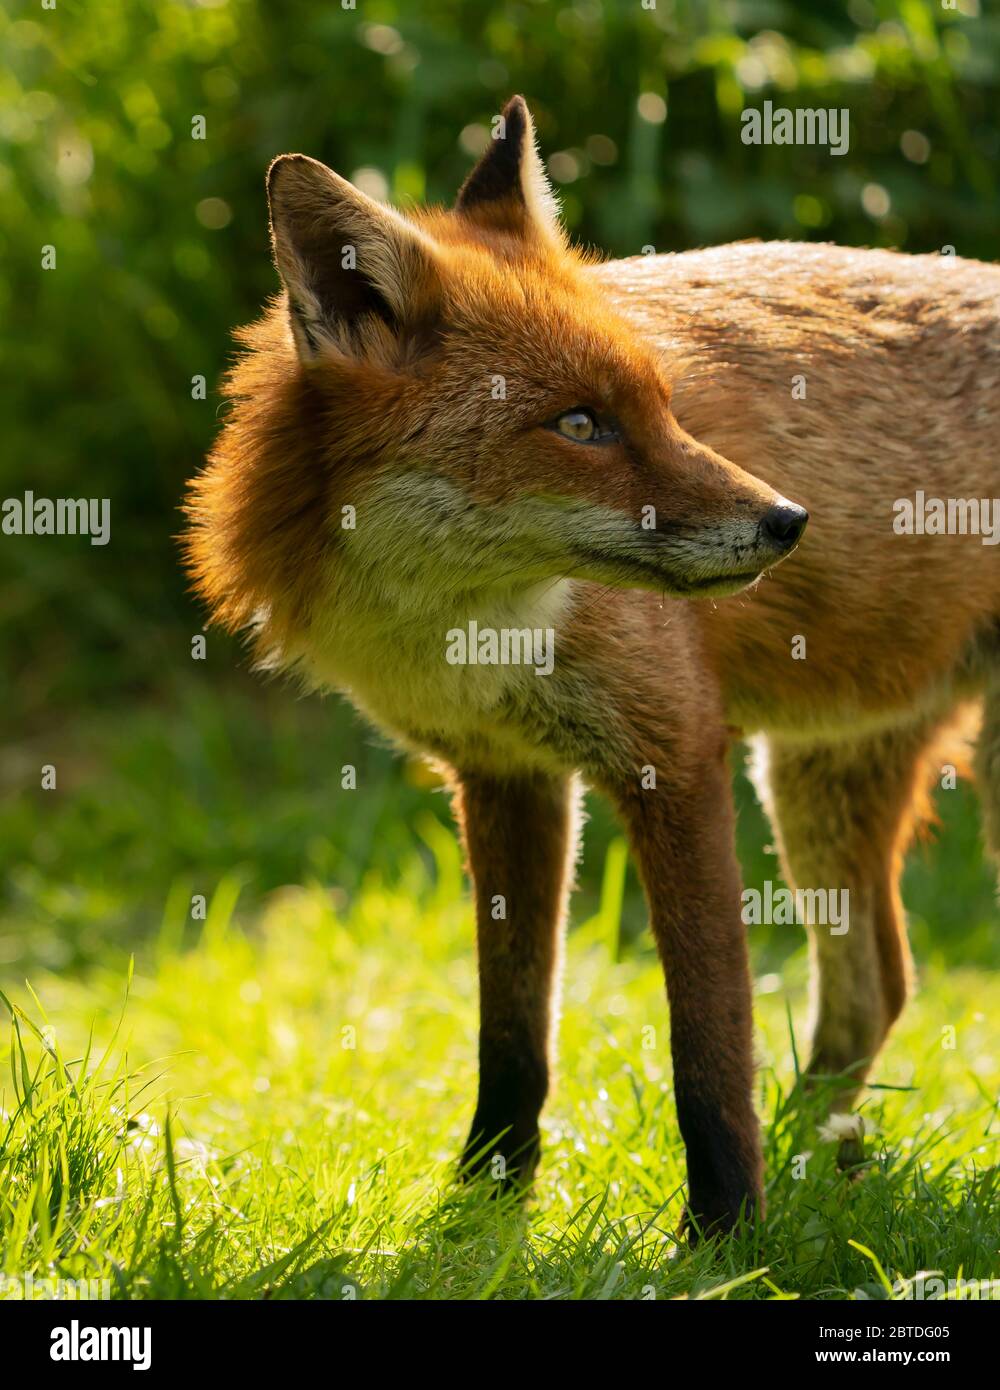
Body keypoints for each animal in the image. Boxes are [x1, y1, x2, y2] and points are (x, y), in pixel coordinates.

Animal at [183, 95, 1000, 1236]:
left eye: (665, 405)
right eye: (580, 423)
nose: (787, 522)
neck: (474, 632)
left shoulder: (675, 755)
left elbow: (707, 1043)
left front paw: (725, 1235)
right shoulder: (506, 775)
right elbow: (513, 1032)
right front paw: (484, 1203)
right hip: (817, 777)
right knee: (876, 986)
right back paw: (817, 1172)